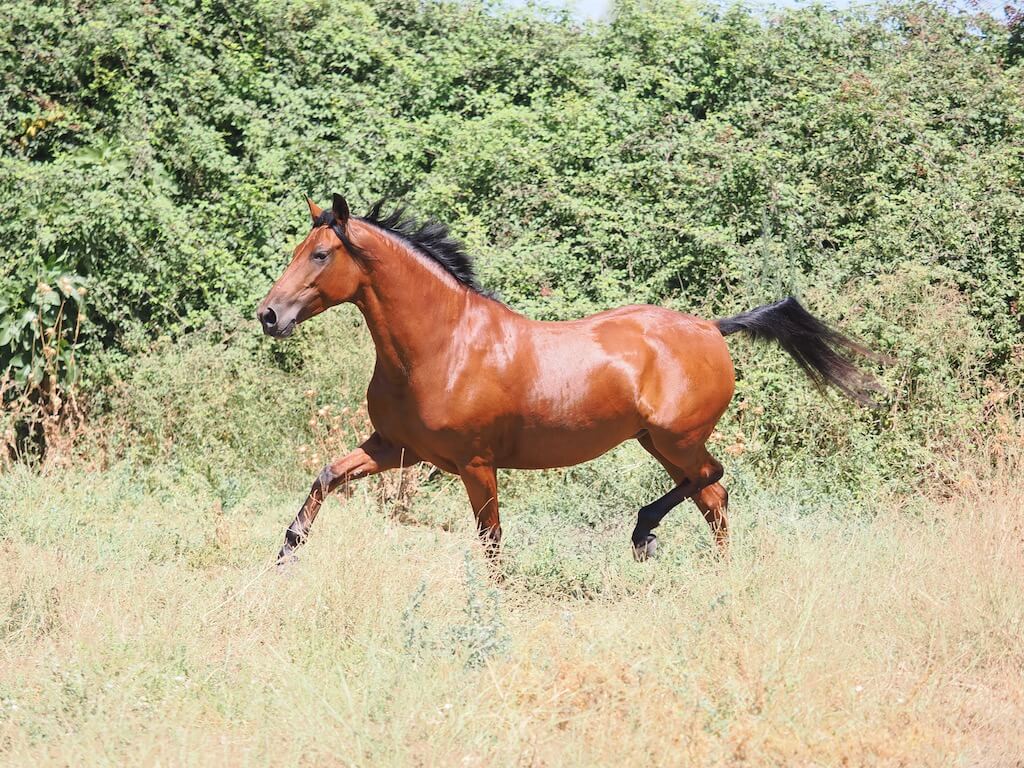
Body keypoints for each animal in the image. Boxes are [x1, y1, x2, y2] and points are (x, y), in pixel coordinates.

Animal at [257, 194, 881, 565]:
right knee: (713, 496)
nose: (268, 315)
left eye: (319, 255)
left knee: (713, 478)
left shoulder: (475, 465)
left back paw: (644, 532)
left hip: (677, 438)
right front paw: (287, 554)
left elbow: (490, 543)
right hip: (659, 444)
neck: (442, 347)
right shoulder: (396, 447)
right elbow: (327, 476)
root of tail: (711, 327)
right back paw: (718, 572)